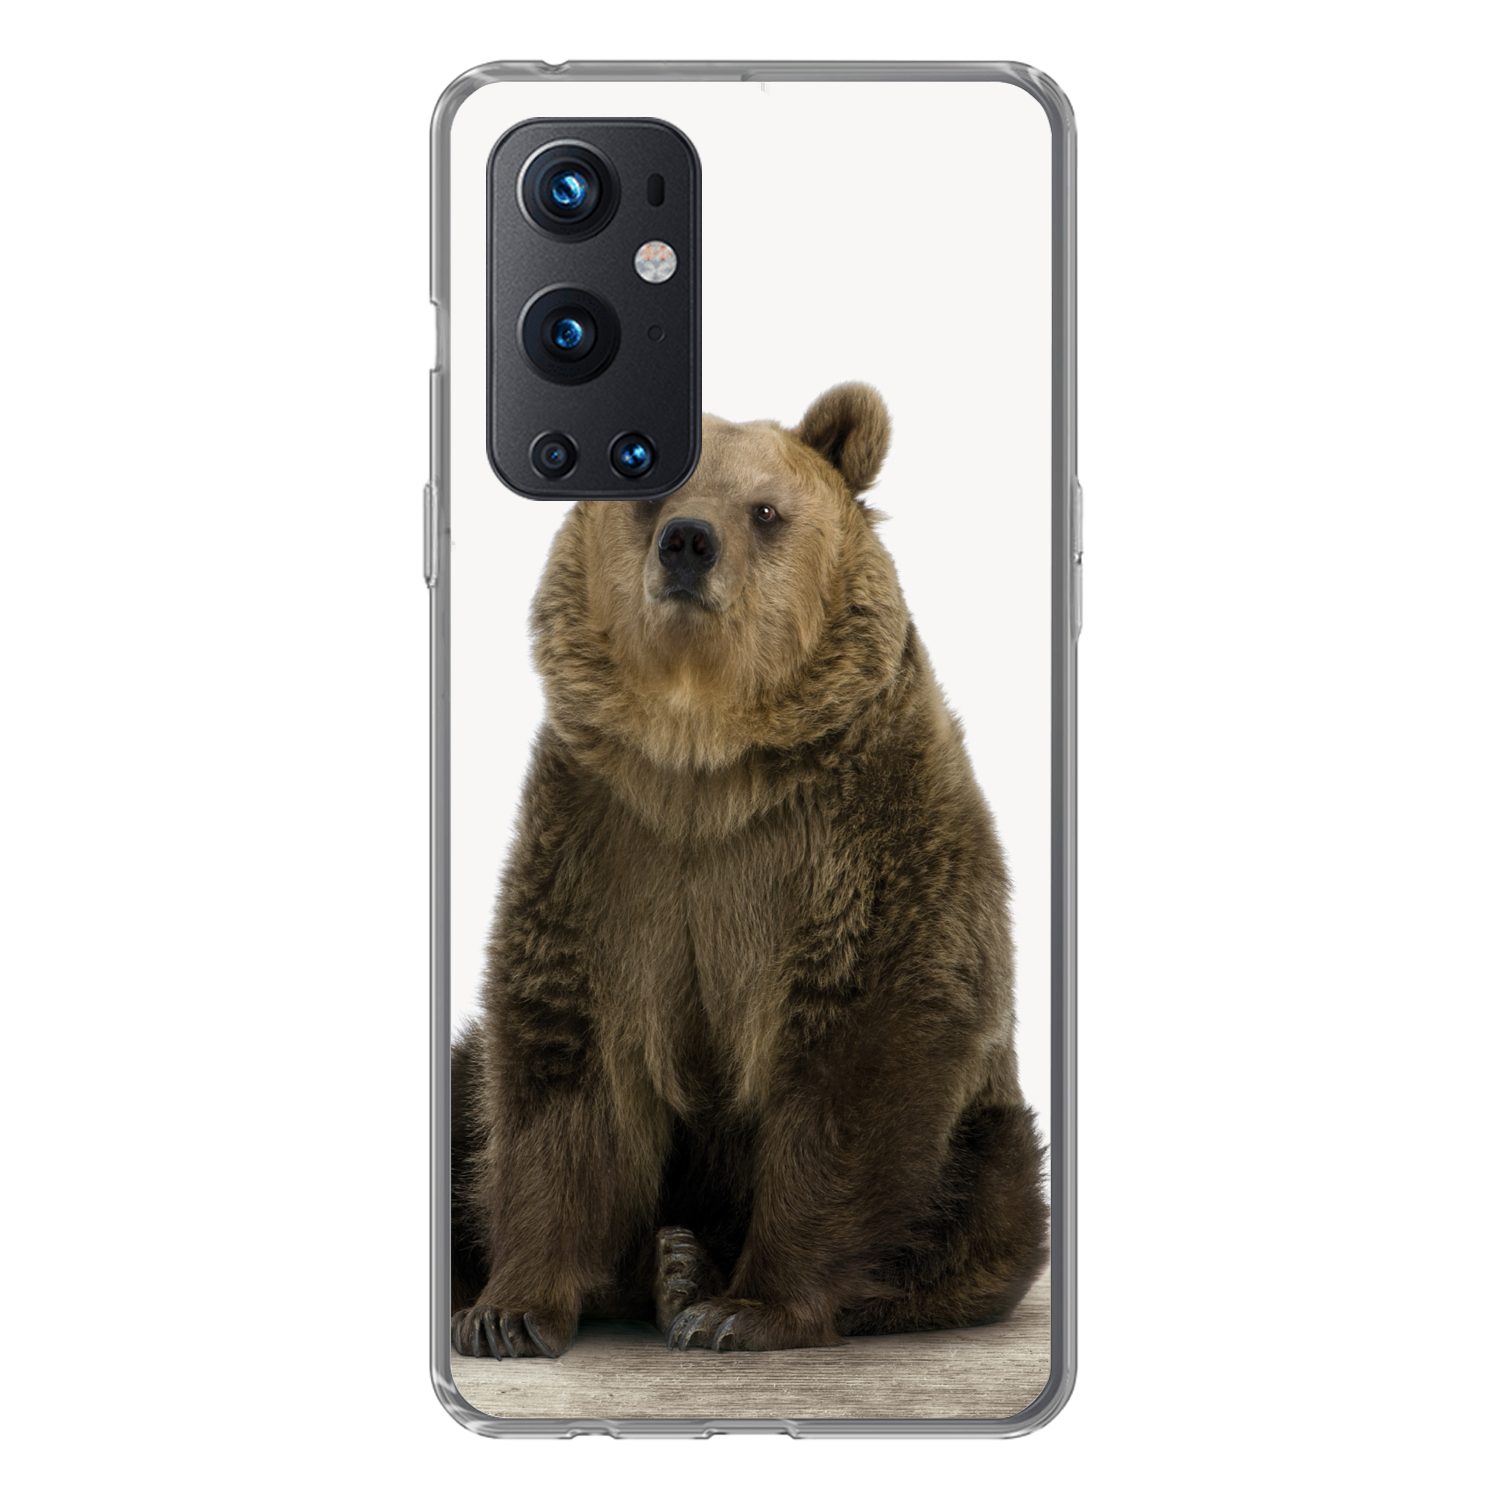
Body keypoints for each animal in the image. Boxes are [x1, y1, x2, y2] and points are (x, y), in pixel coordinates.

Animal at [450, 383, 1048, 1359]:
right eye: (650, 494)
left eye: (764, 510)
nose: (689, 542)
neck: (706, 761)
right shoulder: (604, 843)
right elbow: (562, 1059)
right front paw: (508, 1311)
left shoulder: (860, 837)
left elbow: (859, 1056)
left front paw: (746, 1307)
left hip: (984, 1138)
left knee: (986, 1200)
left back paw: (698, 1273)